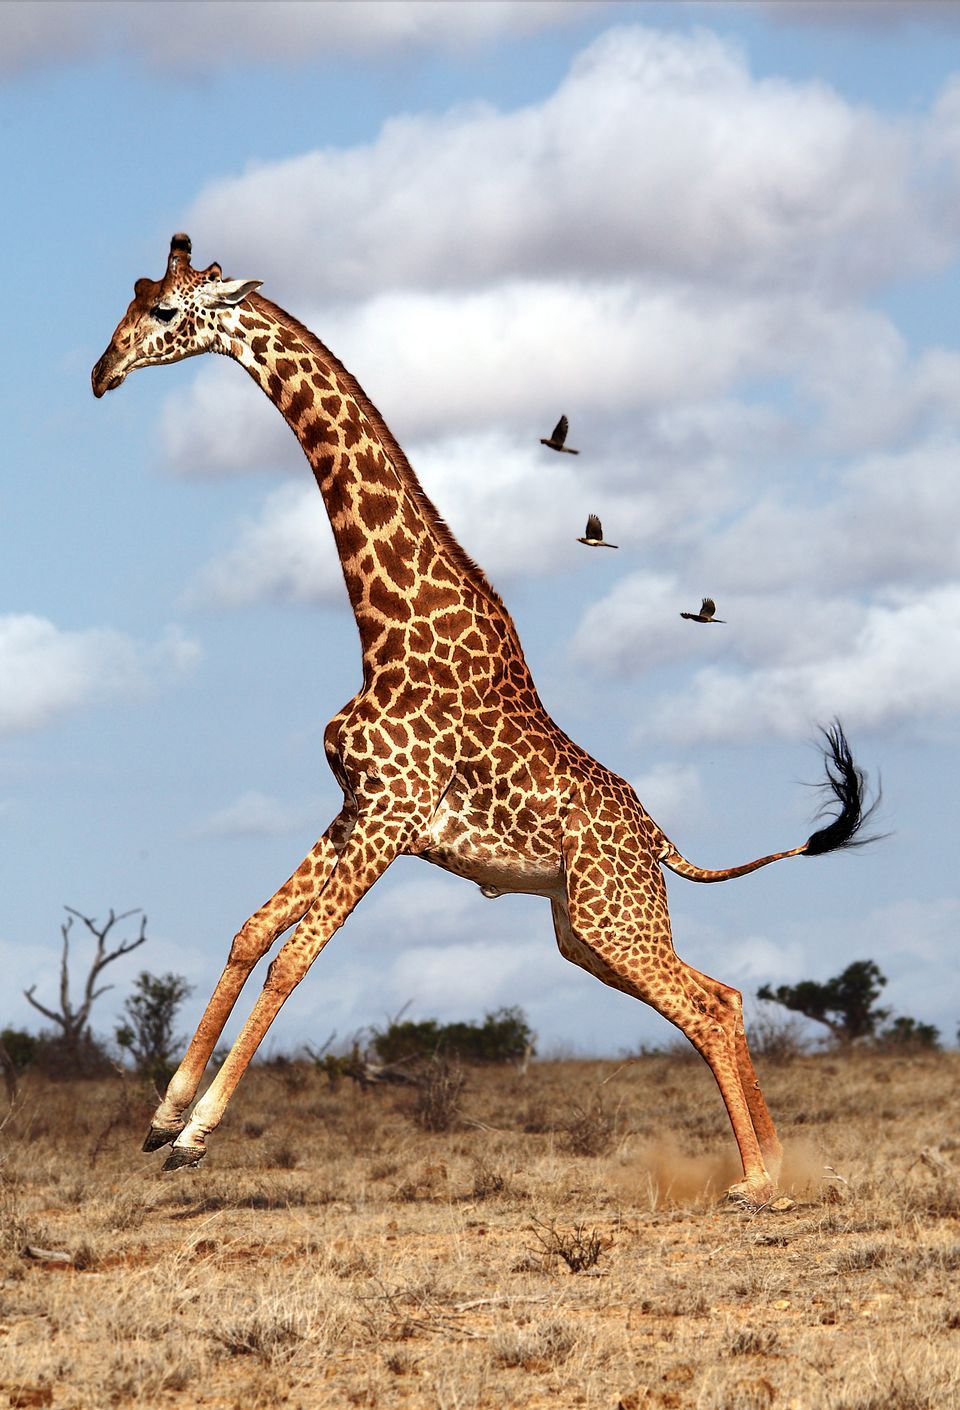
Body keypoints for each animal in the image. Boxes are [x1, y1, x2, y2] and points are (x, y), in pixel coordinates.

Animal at [92, 235, 874, 1204]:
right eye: (130, 297)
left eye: (164, 312)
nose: (100, 372)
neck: (386, 629)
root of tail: (659, 841)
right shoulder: (354, 807)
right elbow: (249, 933)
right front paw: (161, 1119)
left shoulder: (390, 815)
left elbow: (292, 959)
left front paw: (197, 1137)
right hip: (583, 930)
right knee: (720, 998)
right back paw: (761, 1173)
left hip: (613, 916)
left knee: (704, 1004)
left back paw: (760, 1182)